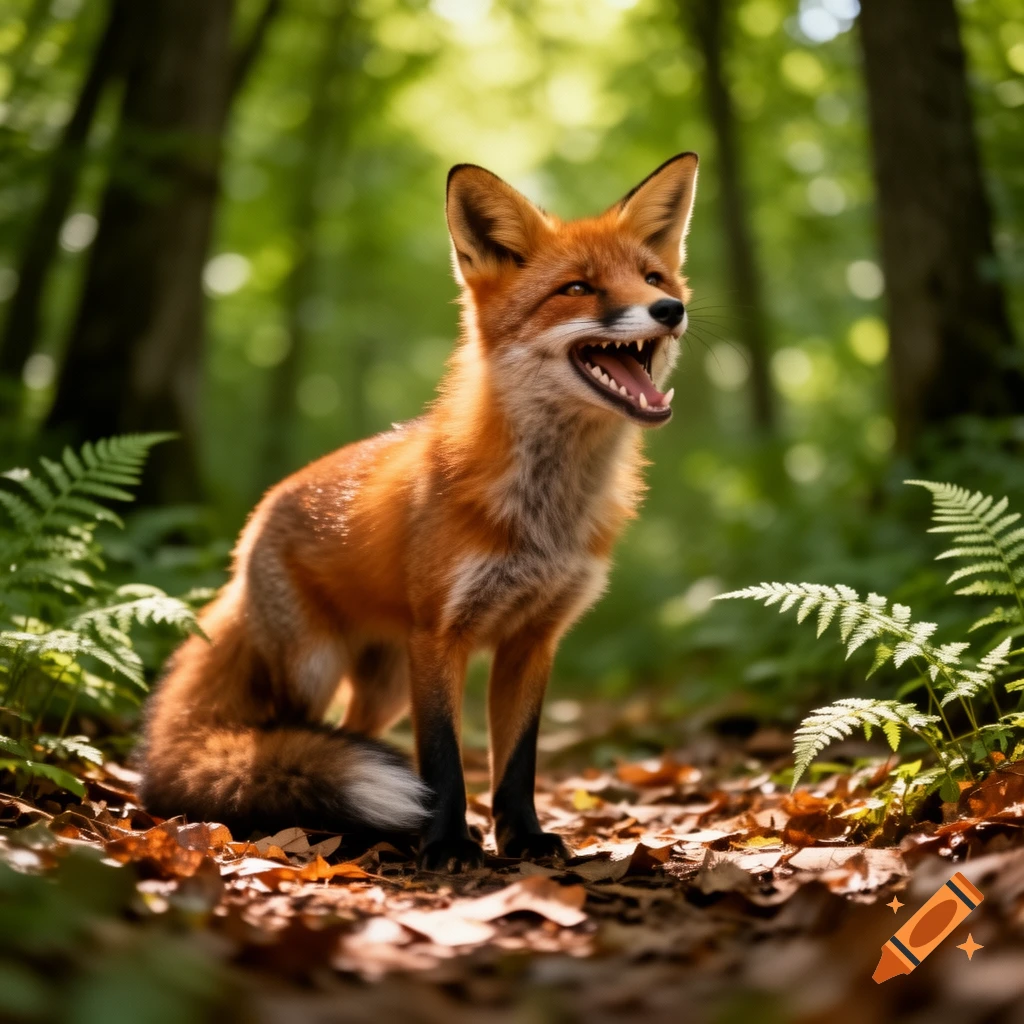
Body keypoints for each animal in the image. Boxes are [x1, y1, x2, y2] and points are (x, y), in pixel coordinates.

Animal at [139, 152, 699, 873]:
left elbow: (517, 761)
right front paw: (449, 845)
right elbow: (442, 758)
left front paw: (523, 839)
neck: (544, 516)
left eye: (653, 277)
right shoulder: (438, 633)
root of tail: (249, 535)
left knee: (349, 735)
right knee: (294, 737)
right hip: (315, 668)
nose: (670, 308)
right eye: (578, 288)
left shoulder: (533, 638)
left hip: (380, 687)